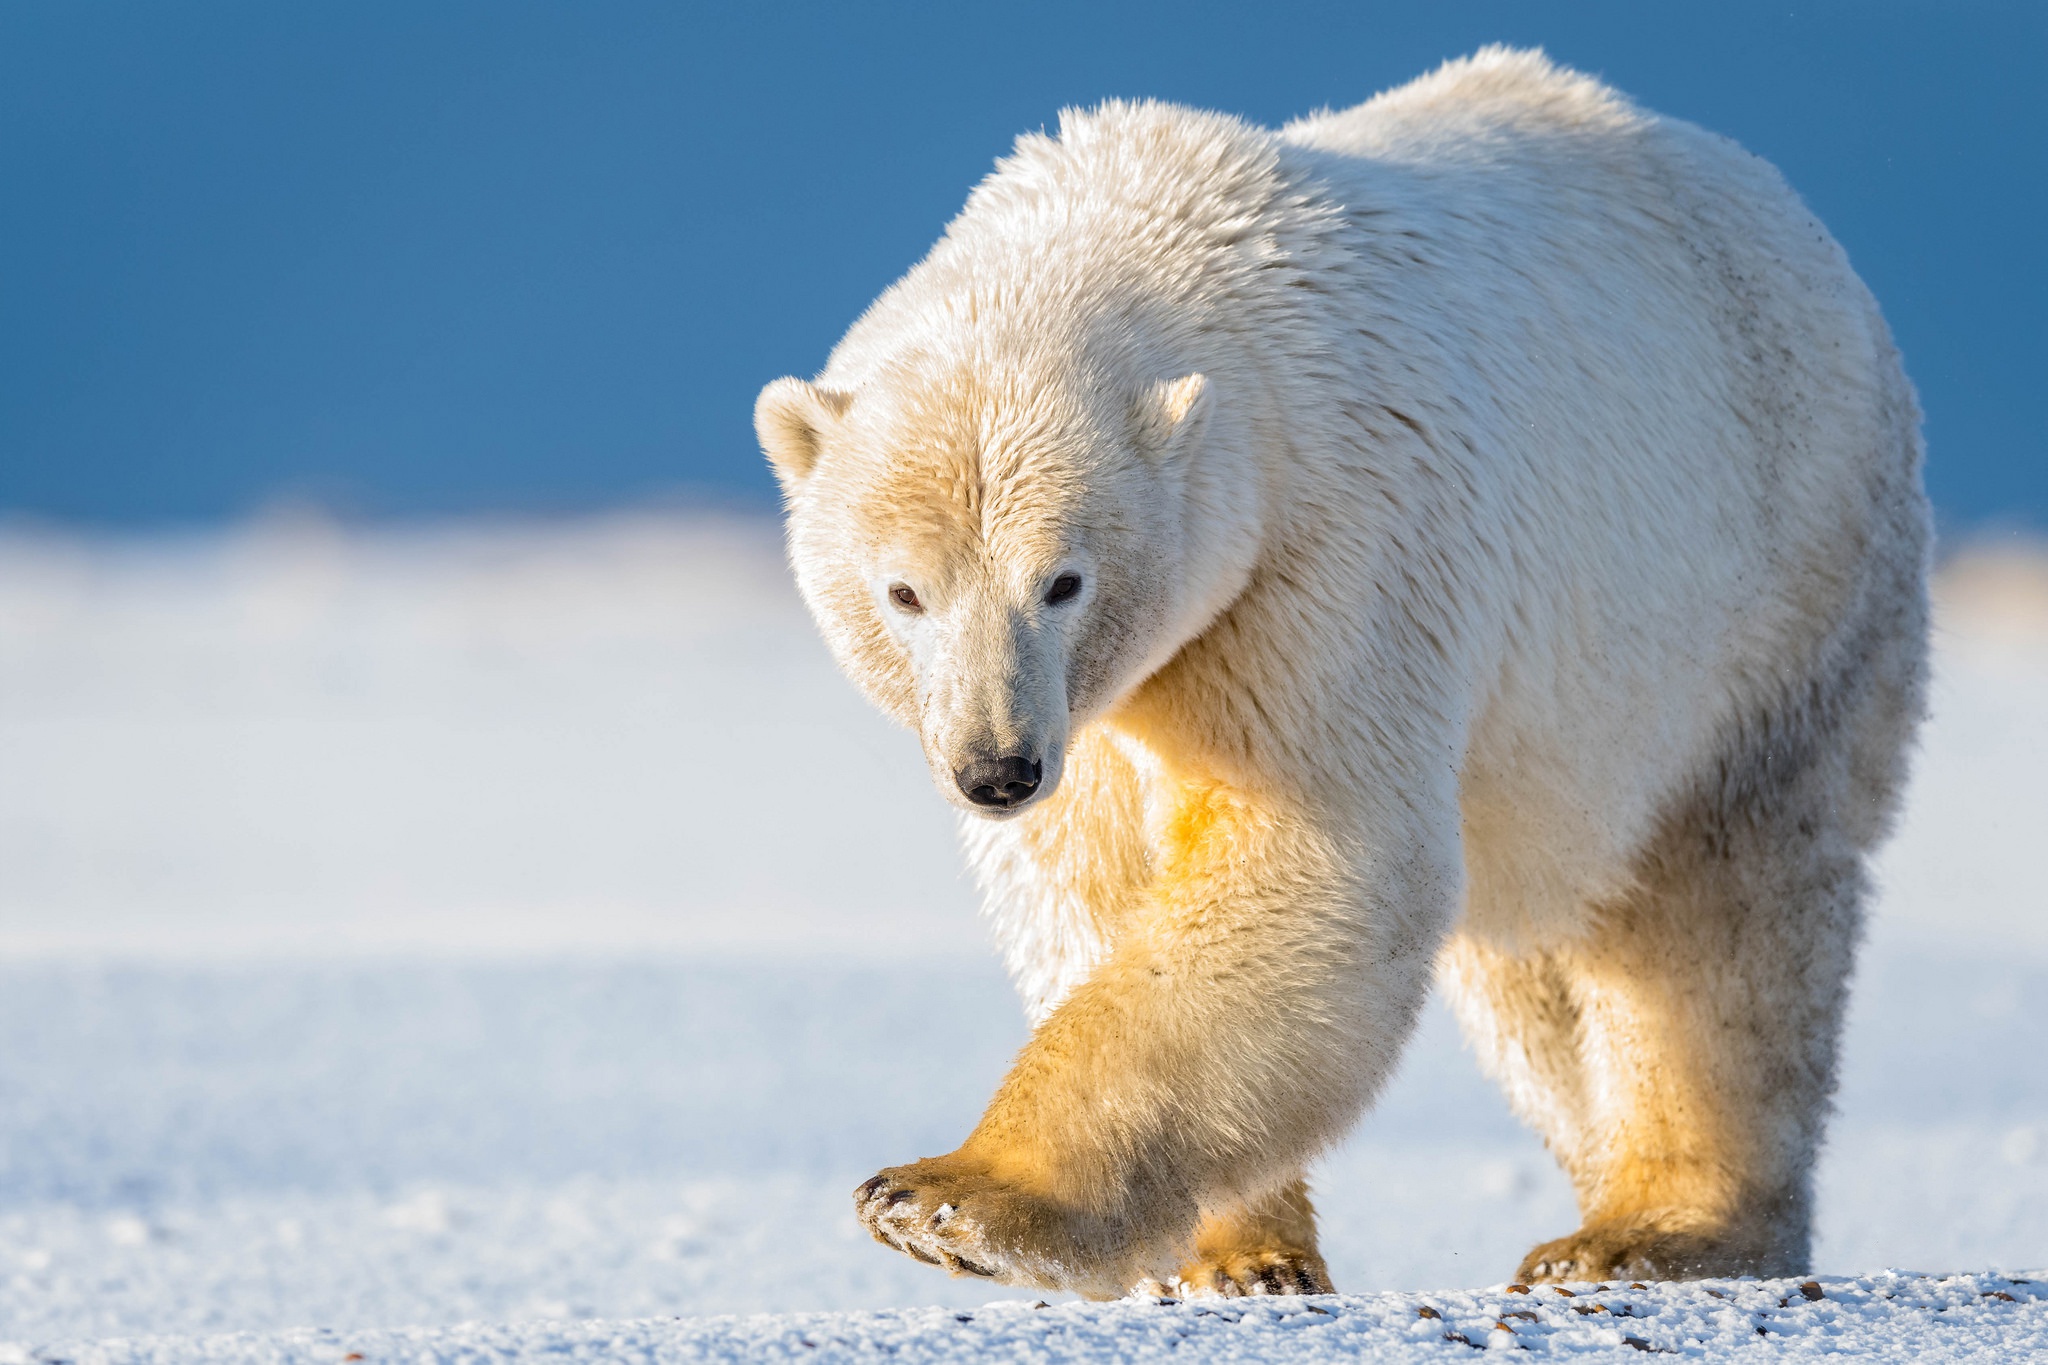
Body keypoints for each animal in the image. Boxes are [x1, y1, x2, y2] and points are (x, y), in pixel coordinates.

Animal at [757, 48, 1933, 1301]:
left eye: (1063, 581)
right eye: (903, 592)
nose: (996, 769)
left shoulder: (1324, 556)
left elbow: (1305, 865)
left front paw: (949, 1198)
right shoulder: (1111, 704)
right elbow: (1094, 890)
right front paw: (1230, 1258)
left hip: (1769, 590)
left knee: (1705, 916)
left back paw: (1653, 1230)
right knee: (1526, 965)